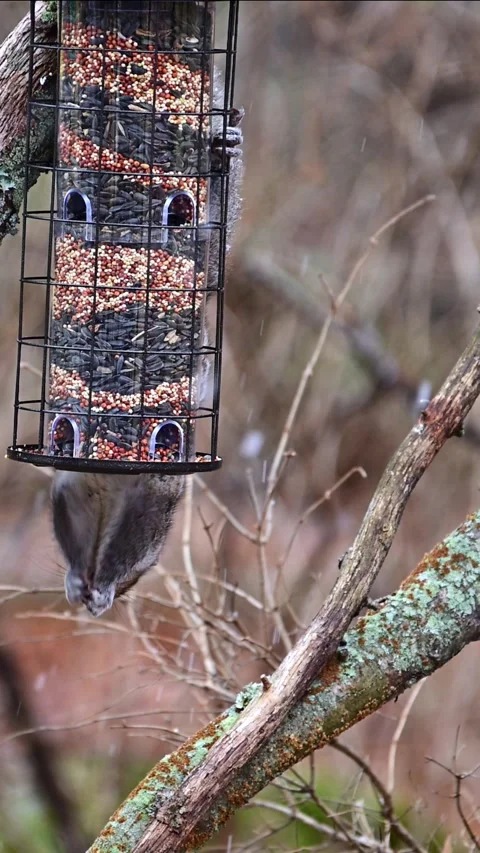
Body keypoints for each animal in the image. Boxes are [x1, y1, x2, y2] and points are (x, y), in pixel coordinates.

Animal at [53, 80, 244, 618]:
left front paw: (227, 151)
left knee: (126, 552)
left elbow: (215, 258)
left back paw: (102, 586)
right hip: (68, 491)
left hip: (152, 499)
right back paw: (78, 579)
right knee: (75, 542)